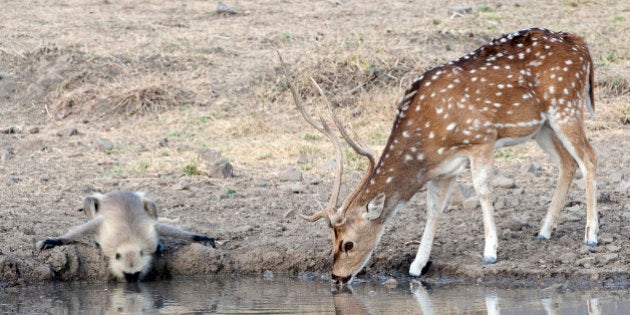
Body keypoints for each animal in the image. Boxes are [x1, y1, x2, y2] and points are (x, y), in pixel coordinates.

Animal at [39, 191, 218, 282]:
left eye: (136, 274)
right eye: (127, 274)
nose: (132, 283)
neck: (128, 242)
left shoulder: (150, 235)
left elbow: (164, 228)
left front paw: (201, 238)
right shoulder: (106, 232)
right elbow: (85, 227)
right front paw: (55, 240)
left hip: (147, 203)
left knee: (150, 204)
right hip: (95, 201)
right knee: (89, 199)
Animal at [280, 28, 596, 288]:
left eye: (348, 244)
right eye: (331, 241)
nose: (337, 276)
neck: (429, 137)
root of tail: (582, 45)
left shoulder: (481, 138)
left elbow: (482, 189)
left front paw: (490, 252)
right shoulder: (445, 168)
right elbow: (433, 208)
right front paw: (416, 266)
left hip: (565, 105)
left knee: (589, 158)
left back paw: (590, 236)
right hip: (542, 126)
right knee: (568, 163)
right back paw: (544, 231)